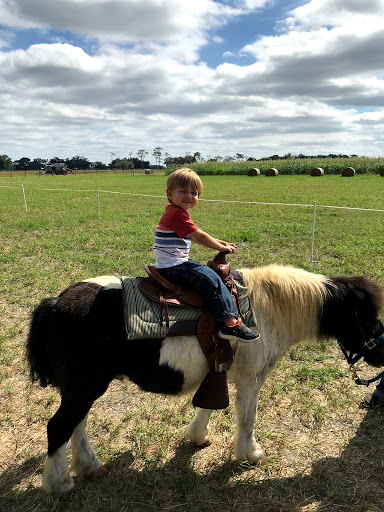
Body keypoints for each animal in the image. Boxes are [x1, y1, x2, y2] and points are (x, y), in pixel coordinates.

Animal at [26, 262, 384, 494]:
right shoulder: (252, 379)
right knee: (59, 427)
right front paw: (251, 455)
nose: (382, 353)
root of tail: (55, 302)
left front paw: (198, 437)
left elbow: (209, 405)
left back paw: (90, 466)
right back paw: (60, 484)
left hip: (85, 388)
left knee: (77, 424)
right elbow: (247, 418)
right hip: (84, 387)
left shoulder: (220, 368)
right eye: (366, 315)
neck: (266, 308)